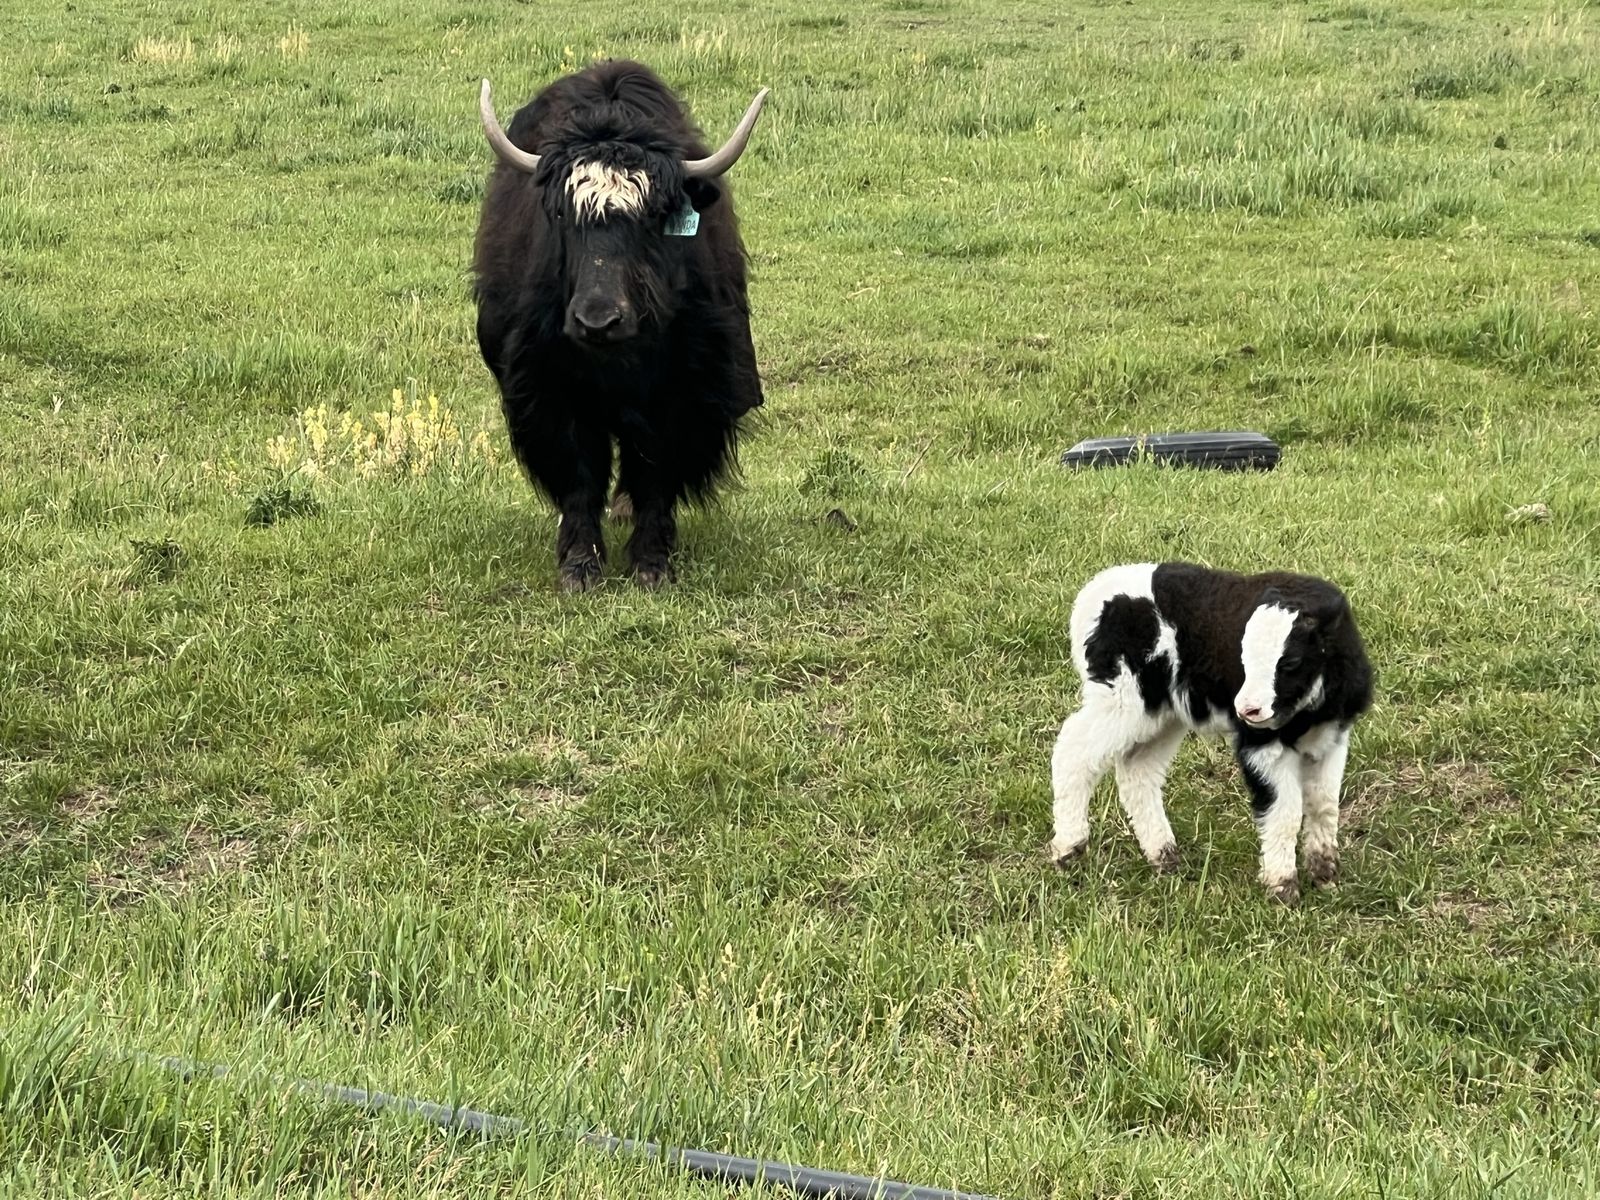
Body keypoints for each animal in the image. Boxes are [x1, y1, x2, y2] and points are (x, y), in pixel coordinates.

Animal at [471, 60, 770, 591]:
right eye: (563, 216)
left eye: (654, 219)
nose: (597, 321)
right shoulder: (550, 389)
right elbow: (579, 471)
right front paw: (579, 566)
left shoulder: (681, 394)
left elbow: (656, 470)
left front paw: (651, 563)